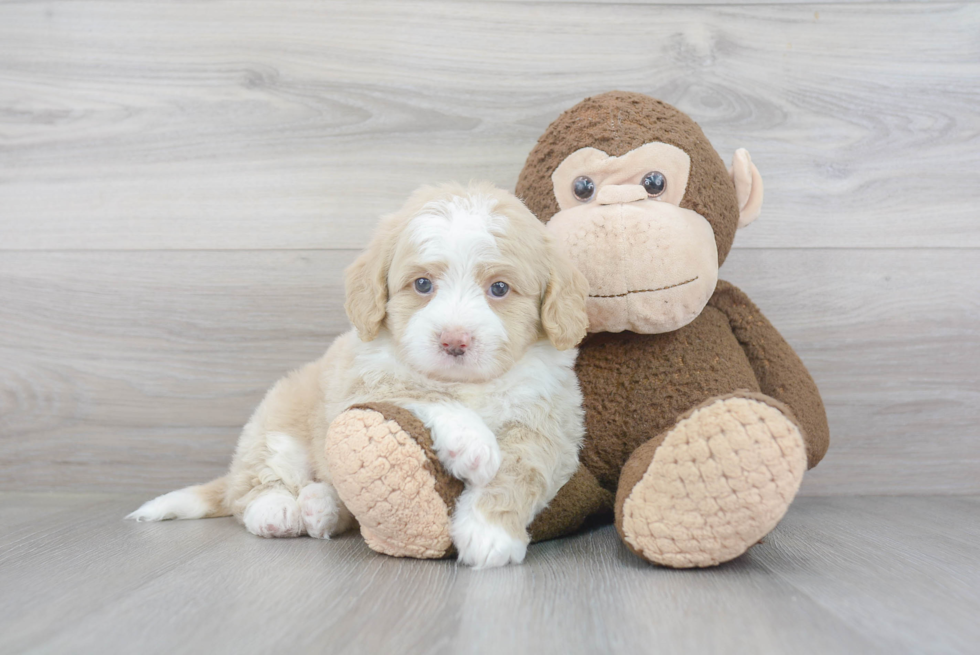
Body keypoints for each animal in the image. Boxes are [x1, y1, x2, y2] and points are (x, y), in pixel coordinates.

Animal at [129, 181, 588, 568]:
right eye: (423, 284)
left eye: (499, 289)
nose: (454, 341)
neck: (469, 386)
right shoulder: (359, 386)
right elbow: (421, 392)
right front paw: (471, 441)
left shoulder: (549, 425)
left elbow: (520, 472)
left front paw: (489, 533)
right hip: (276, 425)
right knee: (254, 485)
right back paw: (277, 509)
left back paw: (320, 506)